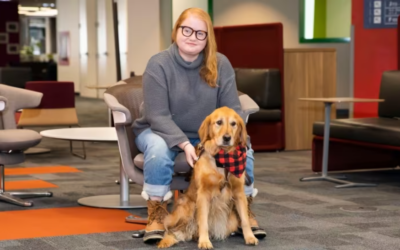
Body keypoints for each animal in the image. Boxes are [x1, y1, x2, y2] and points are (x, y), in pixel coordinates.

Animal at [158, 106, 258, 249]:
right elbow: (203, 222)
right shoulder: (203, 195)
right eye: (219, 122)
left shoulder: (239, 192)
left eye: (233, 123)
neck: (223, 161)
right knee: (171, 230)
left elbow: (244, 219)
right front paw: (204, 241)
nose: (227, 138)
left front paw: (250, 237)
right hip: (186, 208)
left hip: (232, 220)